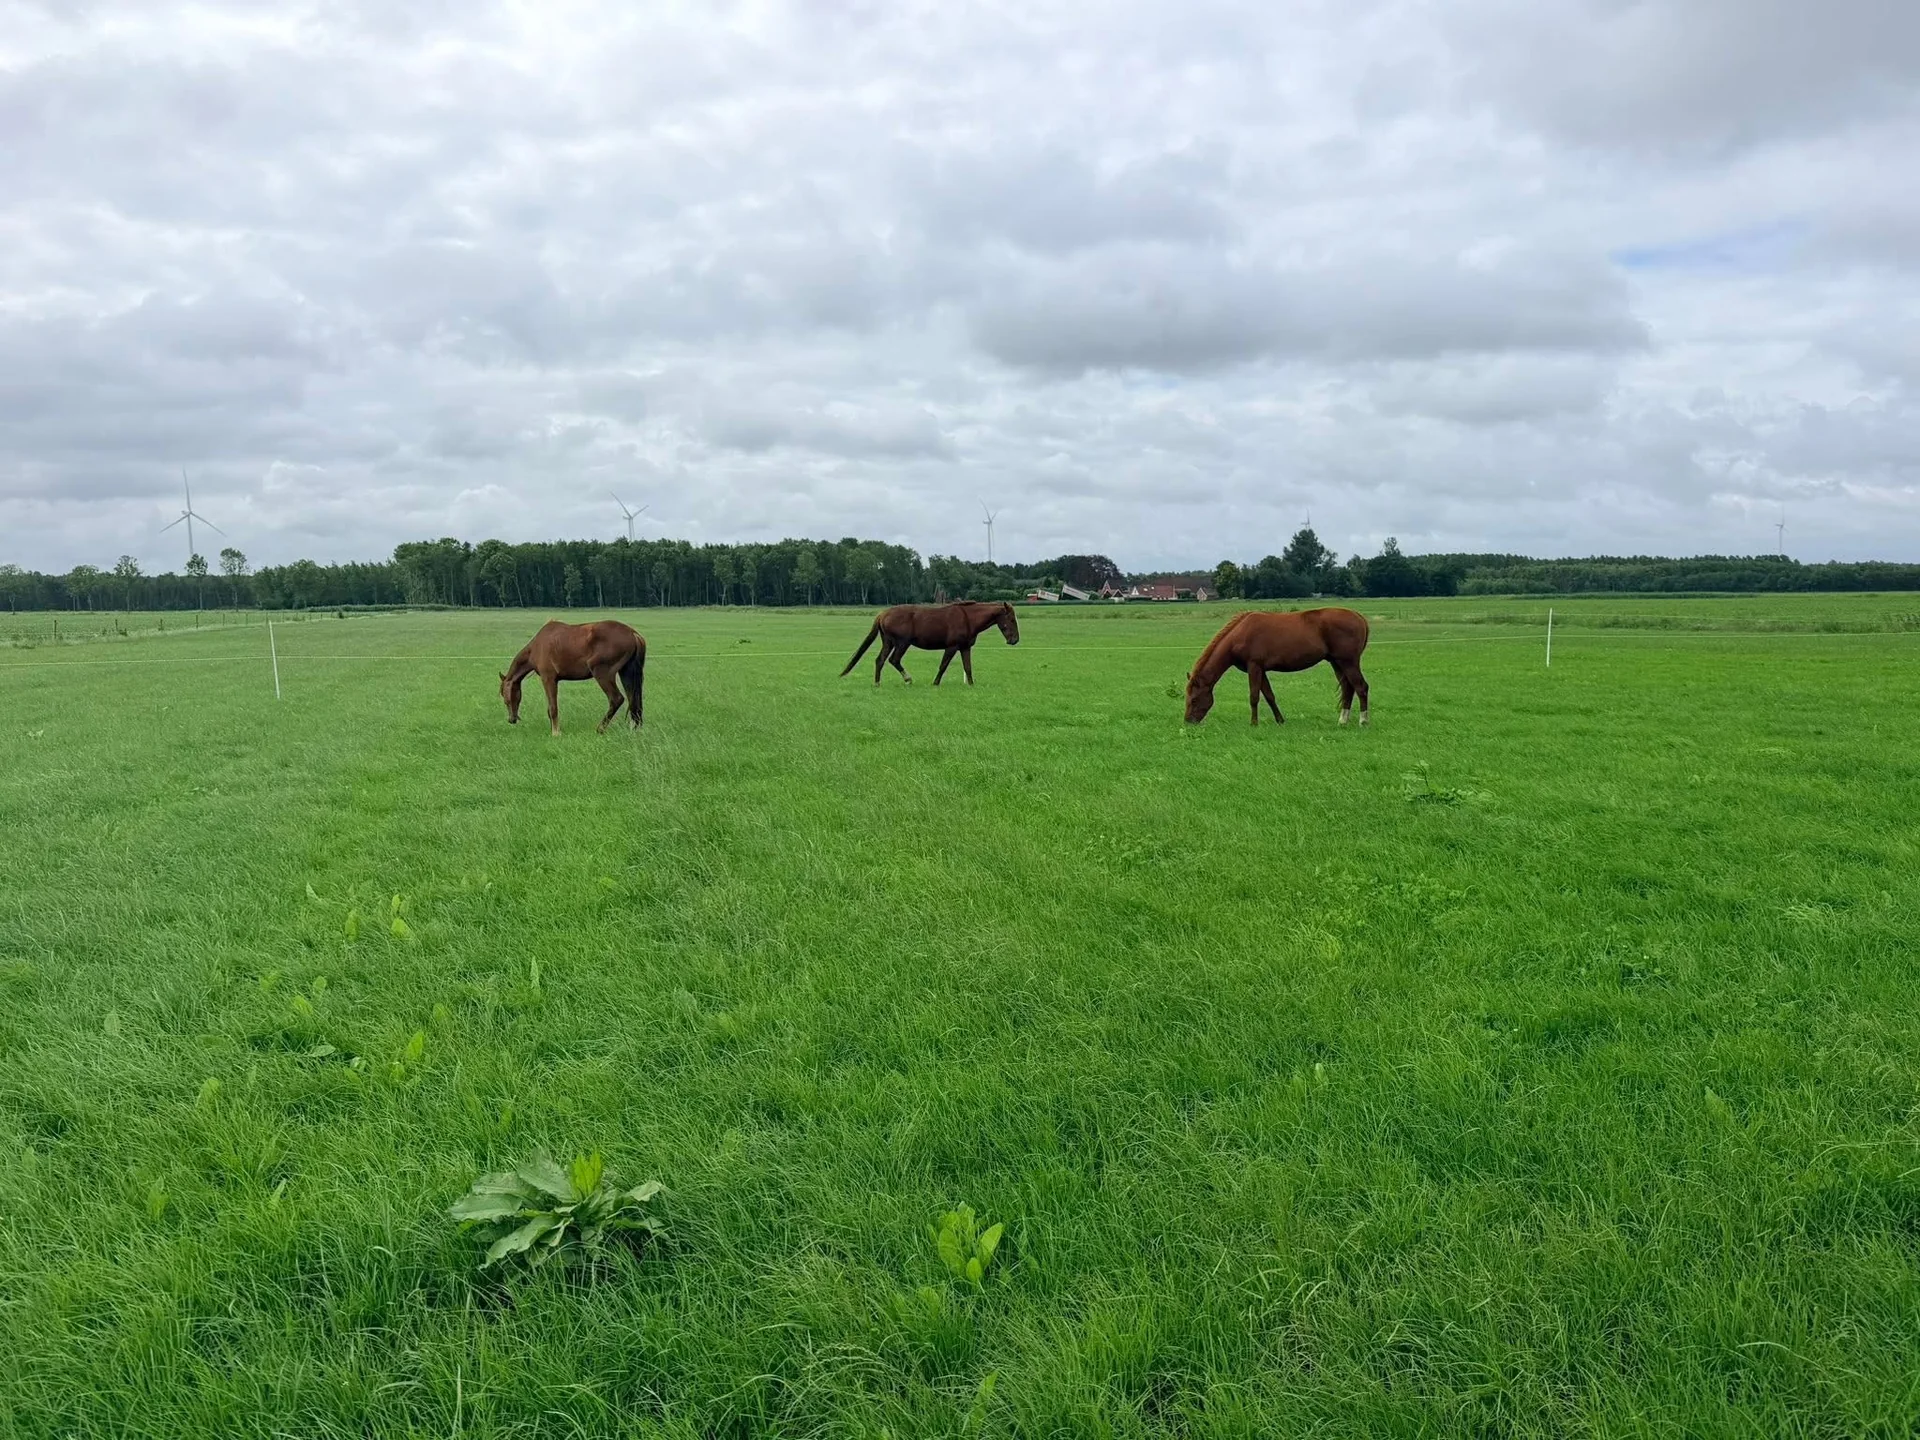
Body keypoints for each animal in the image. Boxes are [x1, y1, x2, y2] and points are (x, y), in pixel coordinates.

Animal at [500, 619, 646, 735]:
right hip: (626, 673)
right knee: (634, 700)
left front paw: (555, 732)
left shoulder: (548, 678)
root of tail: (633, 634)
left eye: (505, 696)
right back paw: (635, 729)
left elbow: (553, 708)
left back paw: (600, 729)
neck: (536, 647)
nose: (511, 719)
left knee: (617, 699)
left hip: (602, 674)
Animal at [840, 601, 1021, 686]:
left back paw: (877, 683)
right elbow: (943, 665)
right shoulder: (952, 647)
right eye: (1011, 619)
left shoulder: (964, 648)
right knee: (894, 660)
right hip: (902, 643)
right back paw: (908, 679)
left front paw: (971, 684)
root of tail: (883, 614)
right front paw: (935, 683)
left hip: (888, 642)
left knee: (880, 660)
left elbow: (967, 667)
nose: (1015, 640)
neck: (968, 618)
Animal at [1184, 608, 1370, 727]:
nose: (1188, 722)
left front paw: (1254, 723)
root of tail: (1359, 617)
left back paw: (1363, 721)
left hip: (1348, 662)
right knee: (1348, 688)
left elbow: (1254, 696)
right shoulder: (1261, 670)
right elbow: (1269, 696)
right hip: (1336, 662)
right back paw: (1343, 721)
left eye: (1194, 699)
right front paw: (1280, 720)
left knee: (1361, 687)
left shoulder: (1254, 667)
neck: (1240, 634)